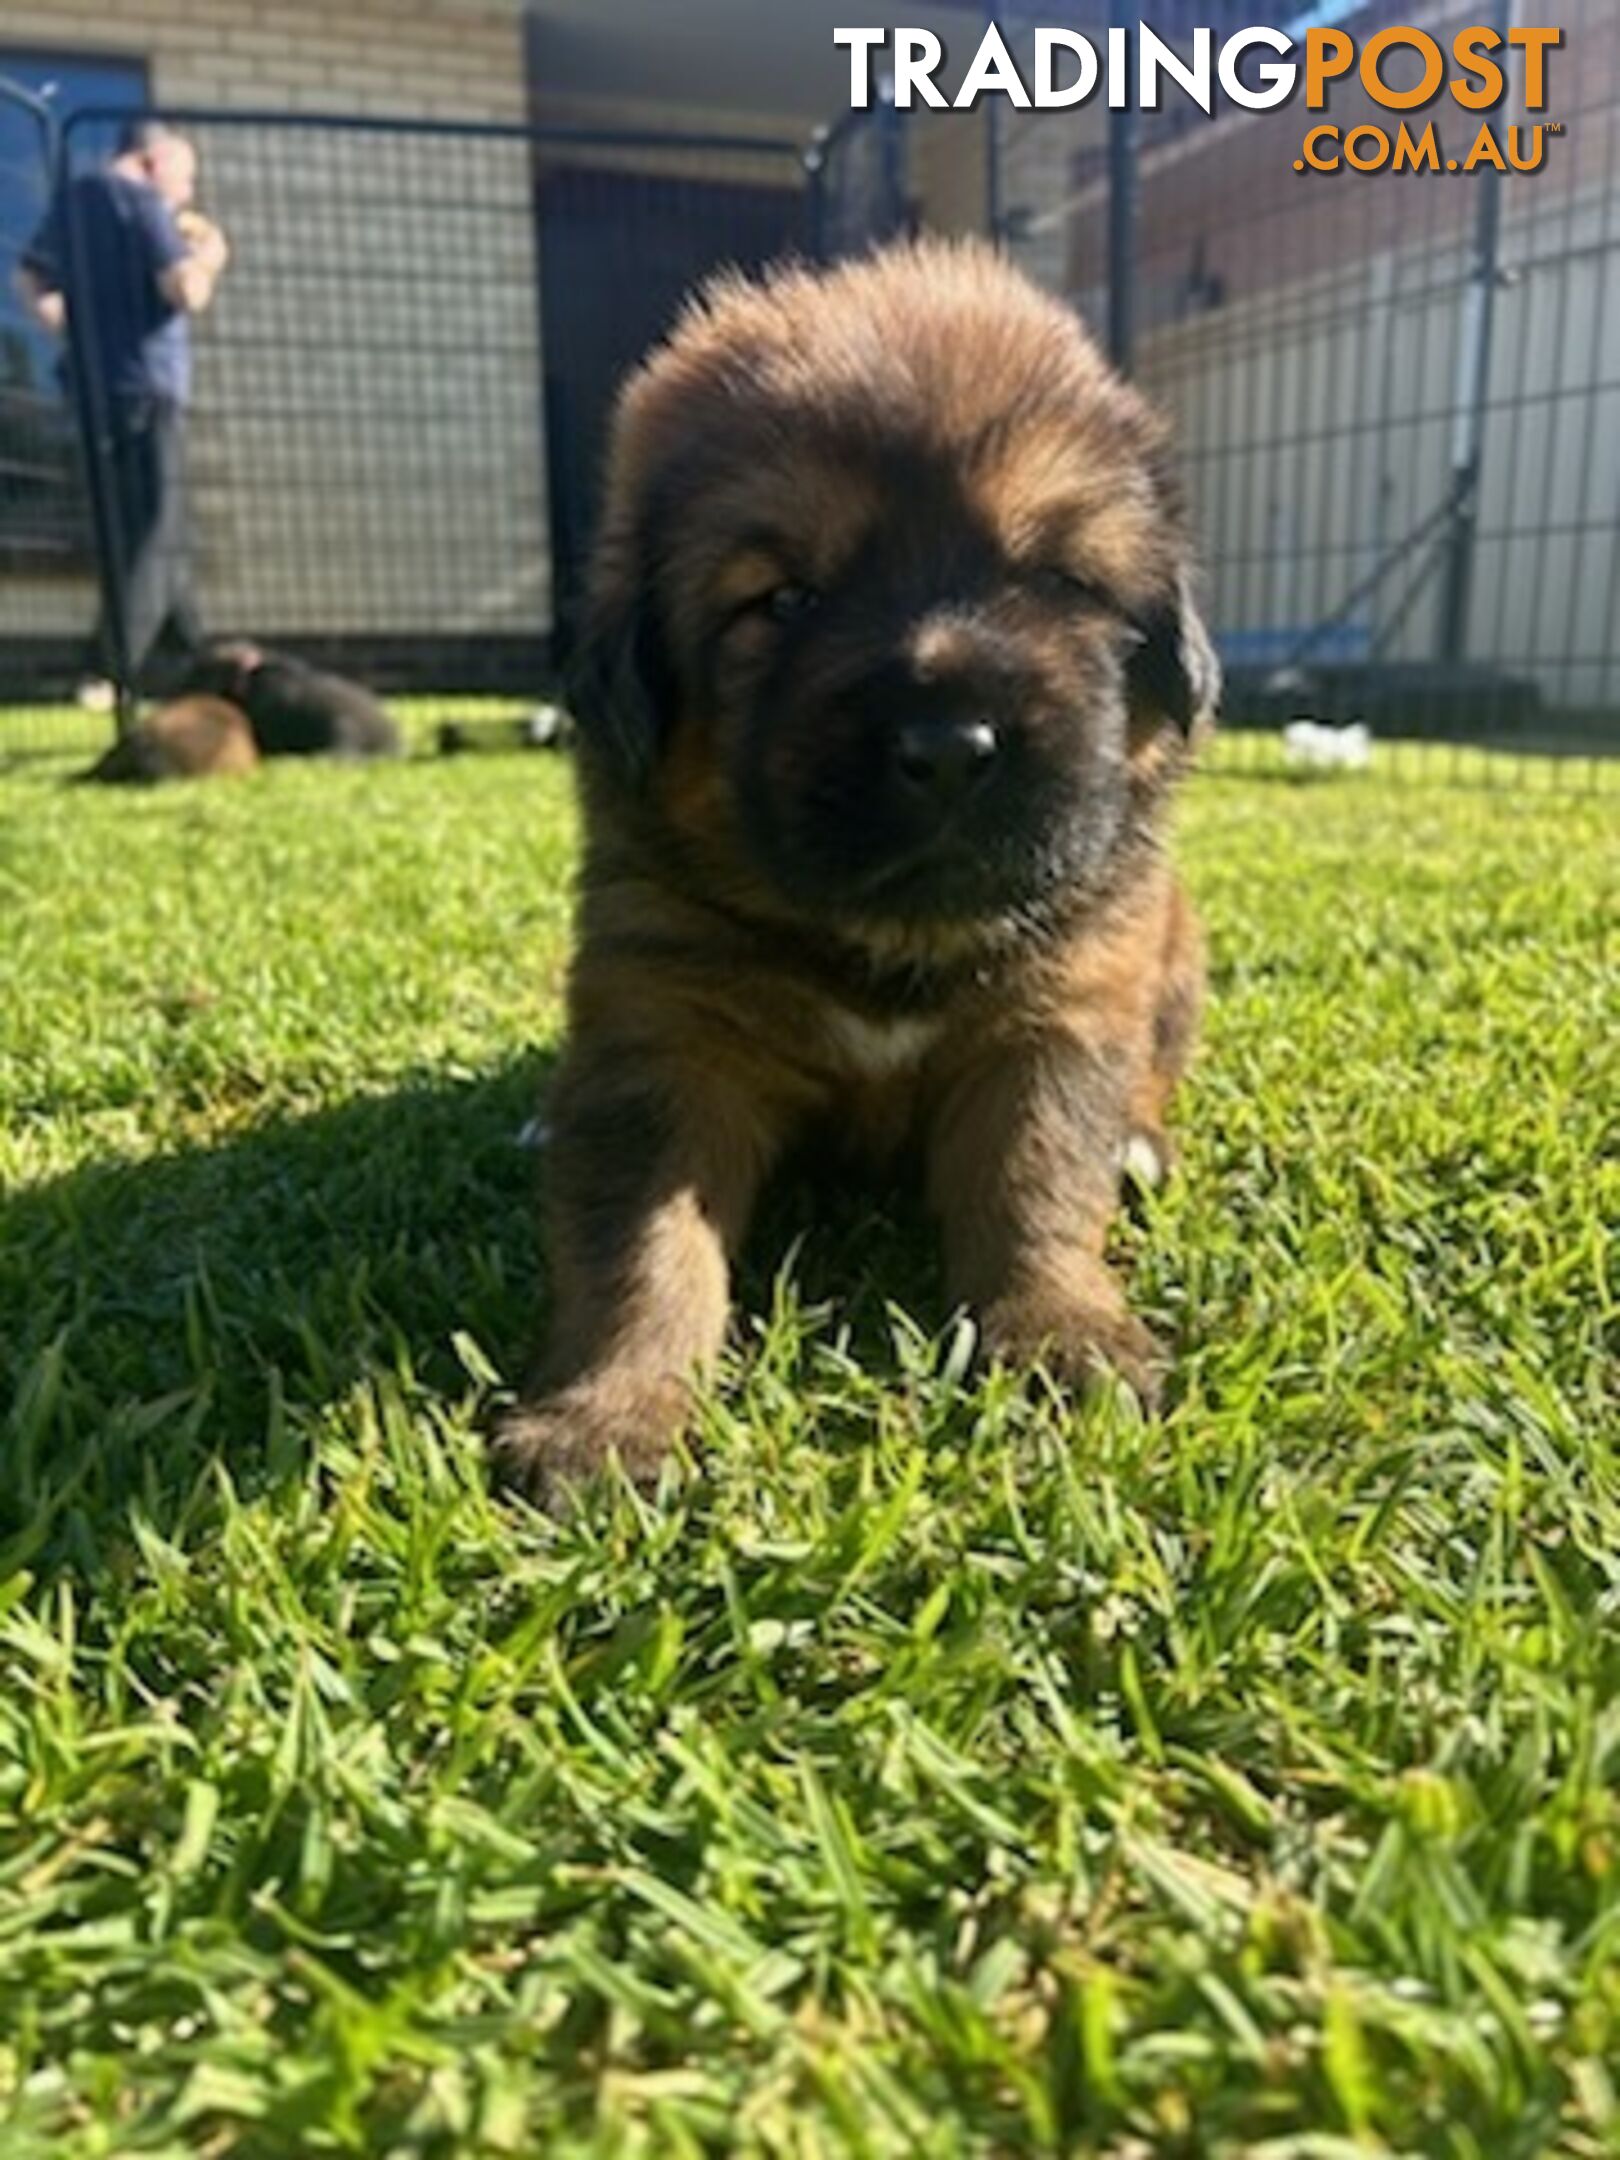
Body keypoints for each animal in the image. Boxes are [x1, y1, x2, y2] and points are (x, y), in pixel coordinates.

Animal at [501, 240, 1226, 1503]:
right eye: (785, 600)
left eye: (1058, 582)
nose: (950, 746)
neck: (892, 943)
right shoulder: (663, 1038)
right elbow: (641, 1248)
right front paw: (610, 1415)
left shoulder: (1057, 1014)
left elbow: (1037, 1184)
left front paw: (1063, 1333)